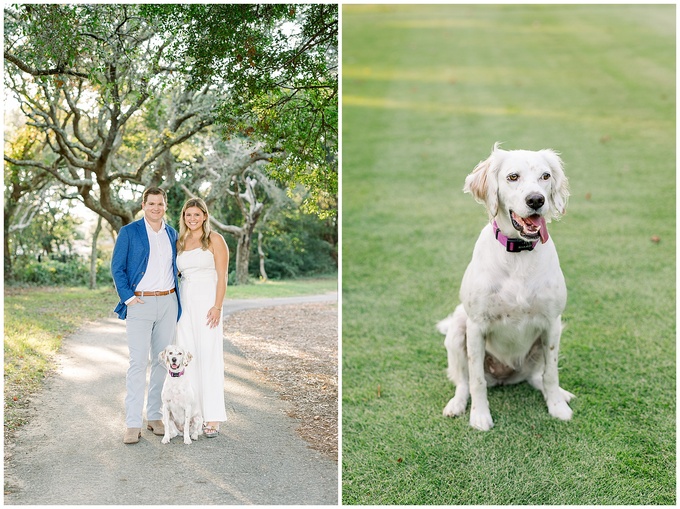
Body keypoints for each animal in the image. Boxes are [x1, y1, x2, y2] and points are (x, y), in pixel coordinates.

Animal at [438, 142, 576, 428]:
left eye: (545, 176)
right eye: (513, 177)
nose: (536, 200)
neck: (519, 253)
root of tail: (504, 377)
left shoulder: (552, 323)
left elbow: (551, 374)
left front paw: (557, 407)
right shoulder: (476, 326)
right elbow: (476, 380)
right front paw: (480, 416)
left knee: (538, 376)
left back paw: (559, 394)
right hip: (457, 330)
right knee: (463, 381)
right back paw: (457, 404)